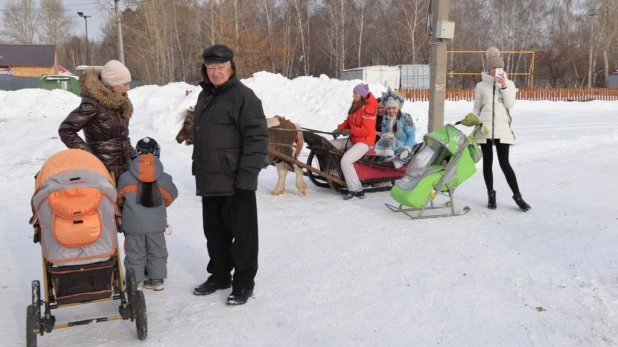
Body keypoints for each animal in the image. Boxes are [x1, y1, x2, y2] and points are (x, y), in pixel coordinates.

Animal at [176, 107, 306, 197]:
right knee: (283, 171)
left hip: (288, 154)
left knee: (298, 168)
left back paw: (302, 188)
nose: (178, 138)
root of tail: (291, 125)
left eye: (186, 123)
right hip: (279, 157)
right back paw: (278, 190)